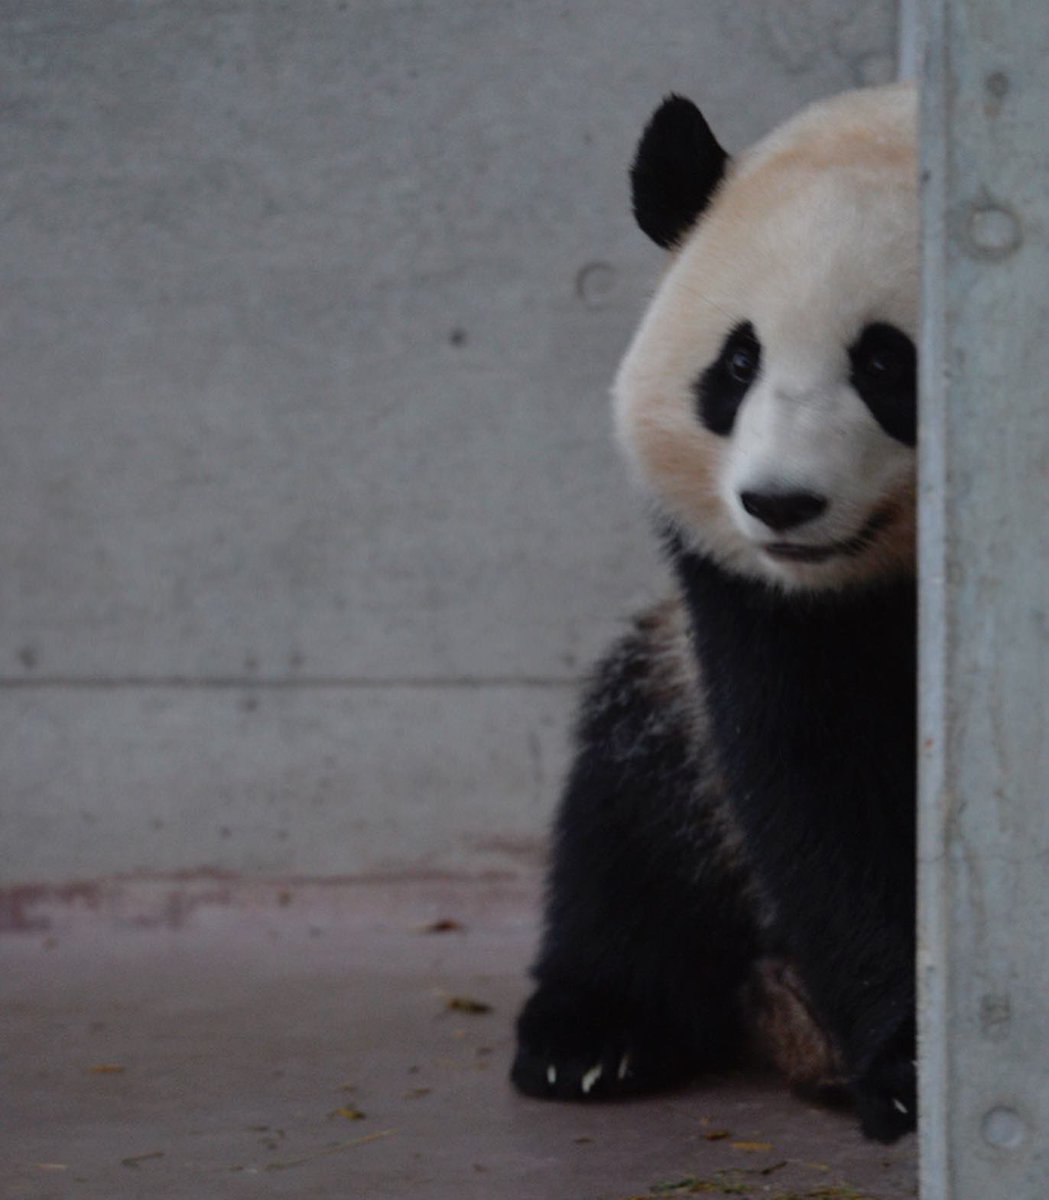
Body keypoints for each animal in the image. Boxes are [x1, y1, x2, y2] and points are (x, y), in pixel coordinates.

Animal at [511, 83, 918, 1145]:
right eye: (736, 365)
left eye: (886, 365)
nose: (782, 504)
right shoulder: (756, 603)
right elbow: (820, 783)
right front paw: (911, 1064)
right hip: (669, 693)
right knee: (628, 827)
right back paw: (589, 1038)